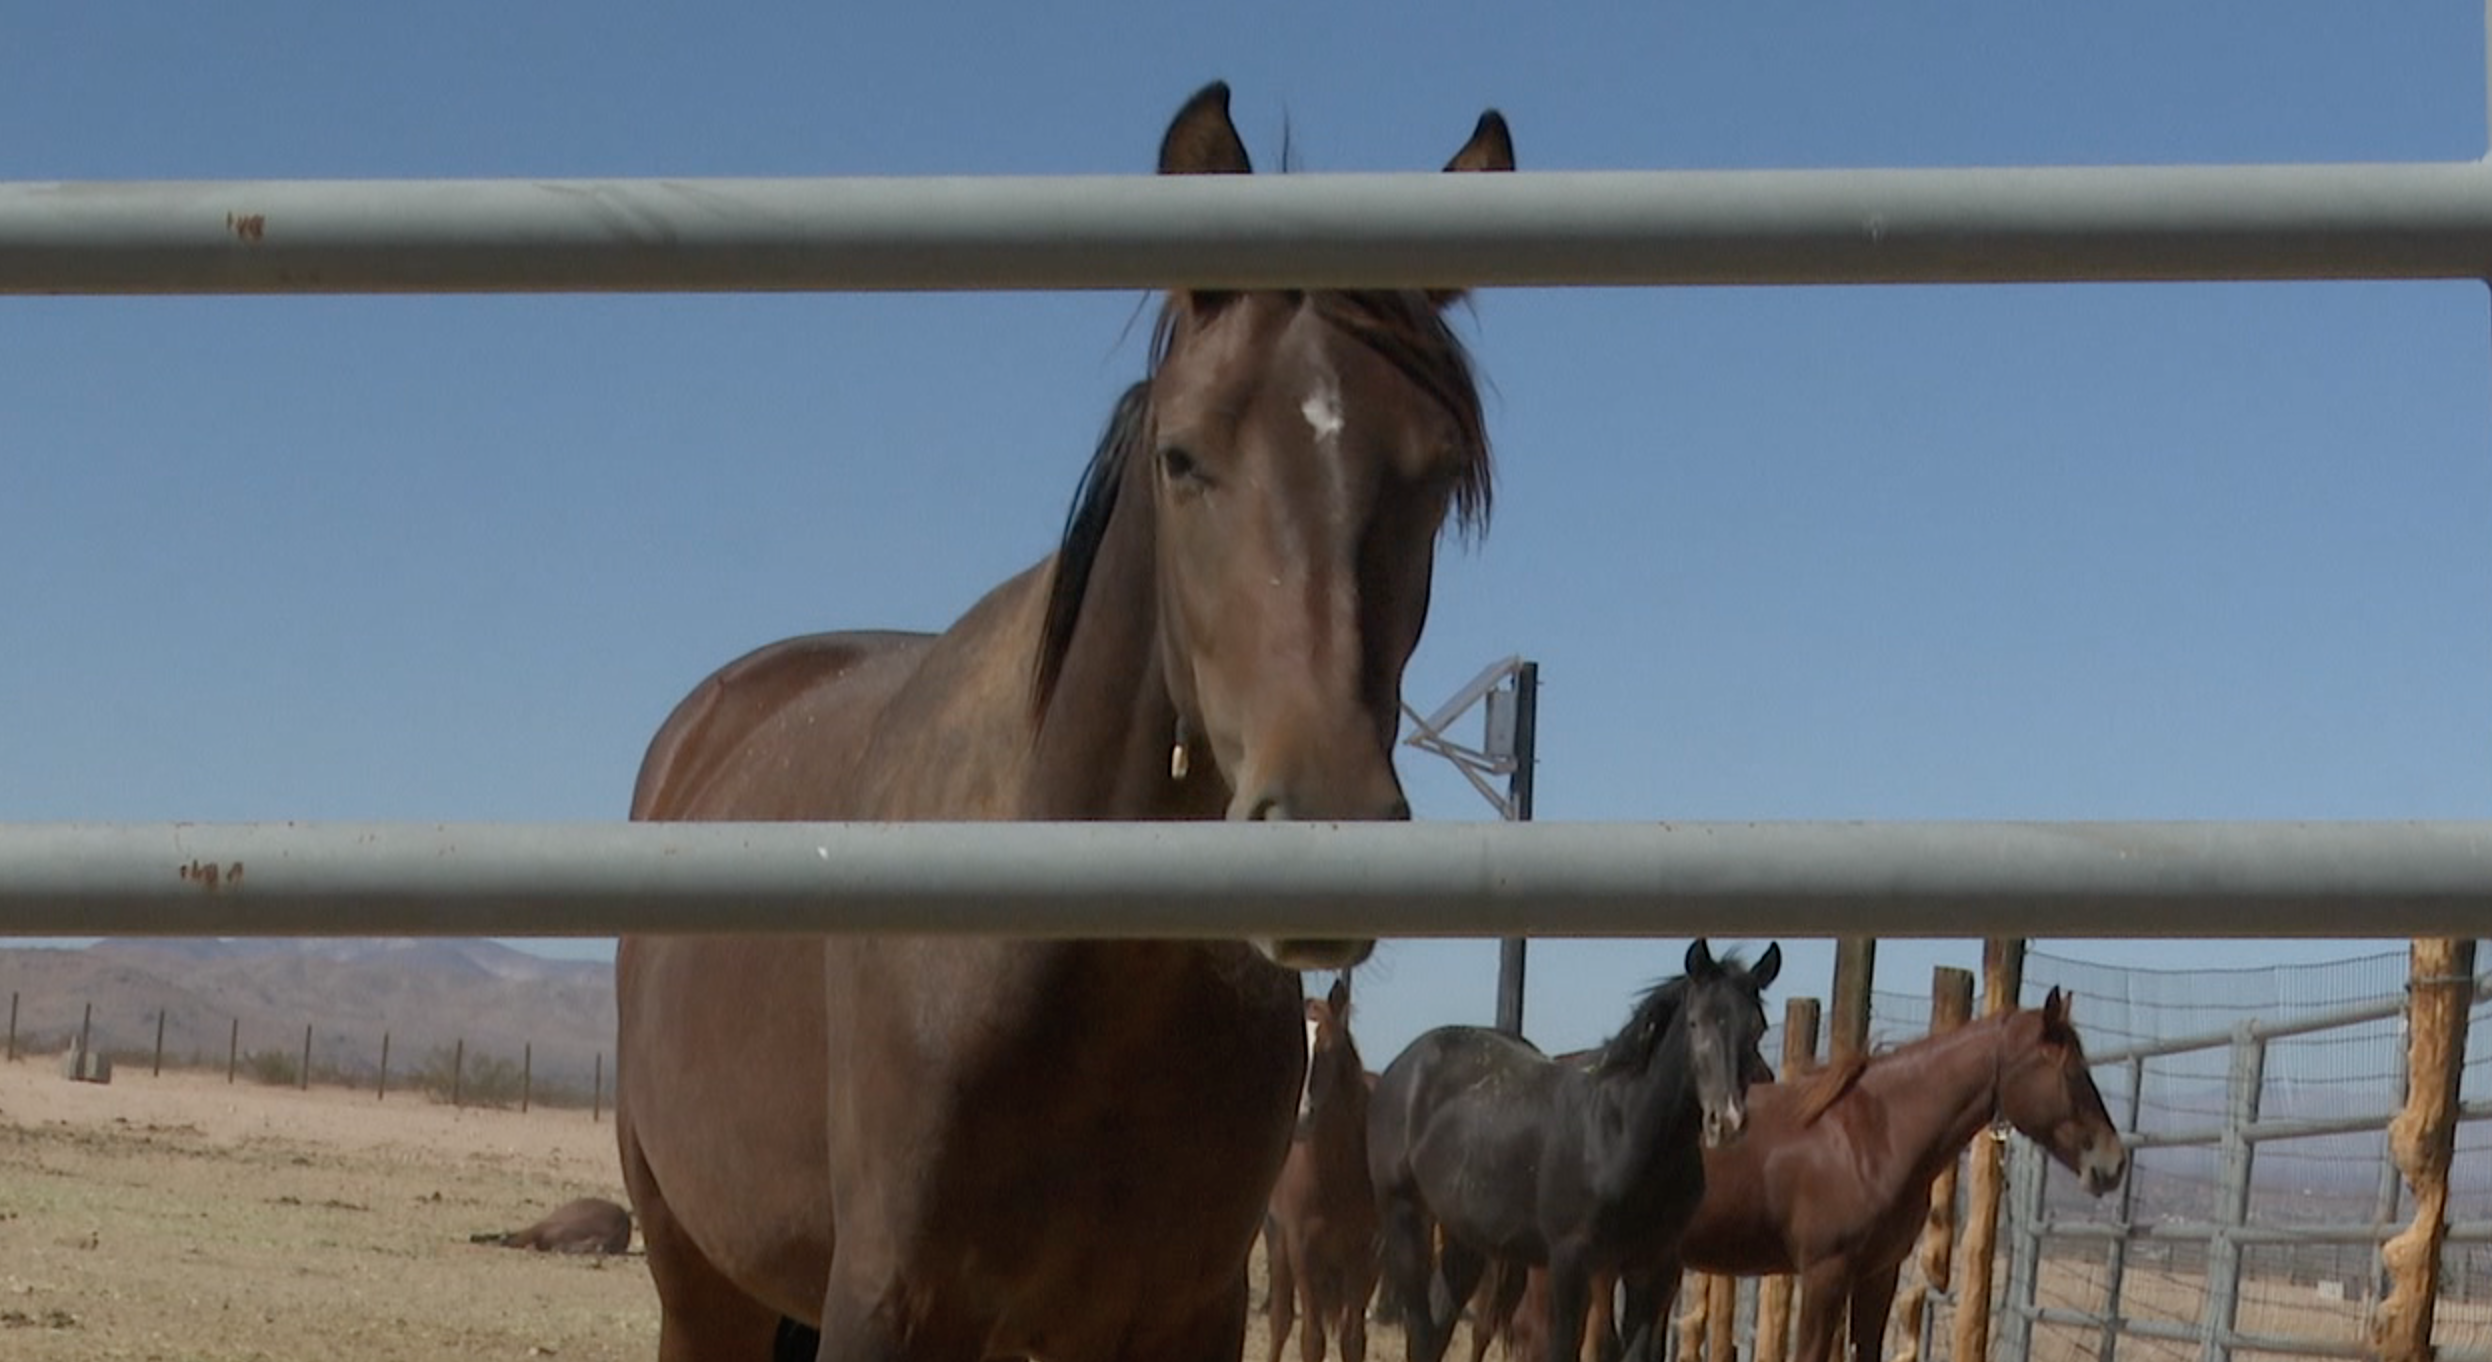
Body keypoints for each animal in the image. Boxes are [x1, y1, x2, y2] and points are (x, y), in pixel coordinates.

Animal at [1263, 974, 1379, 1362]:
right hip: (1276, 1239)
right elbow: (1311, 1340)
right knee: (1280, 1321)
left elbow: (1353, 1340)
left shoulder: (1365, 1255)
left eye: (1327, 1050)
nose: (1298, 1118)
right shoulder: (1302, 1250)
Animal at [1367, 941, 1782, 1362]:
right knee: (1420, 1327)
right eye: (1696, 1023)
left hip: (1467, 1236)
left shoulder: (1654, 1269)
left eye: (1757, 1028)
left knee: (1438, 1324)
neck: (1621, 1133)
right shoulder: (1571, 1263)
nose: (1726, 1120)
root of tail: (1405, 1065)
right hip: (1405, 1214)